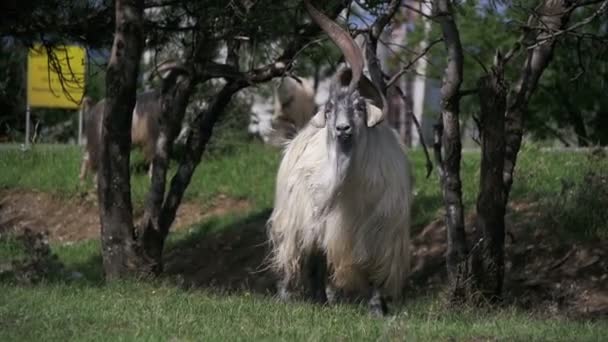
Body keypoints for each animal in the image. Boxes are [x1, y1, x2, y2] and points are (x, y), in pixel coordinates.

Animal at [268, 0, 414, 316]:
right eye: (330, 108)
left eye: (359, 106)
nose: (342, 129)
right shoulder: (323, 224)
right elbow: (316, 260)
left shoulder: (382, 232)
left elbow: (374, 272)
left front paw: (377, 309)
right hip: (294, 220)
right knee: (301, 258)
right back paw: (290, 297)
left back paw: (321, 300)